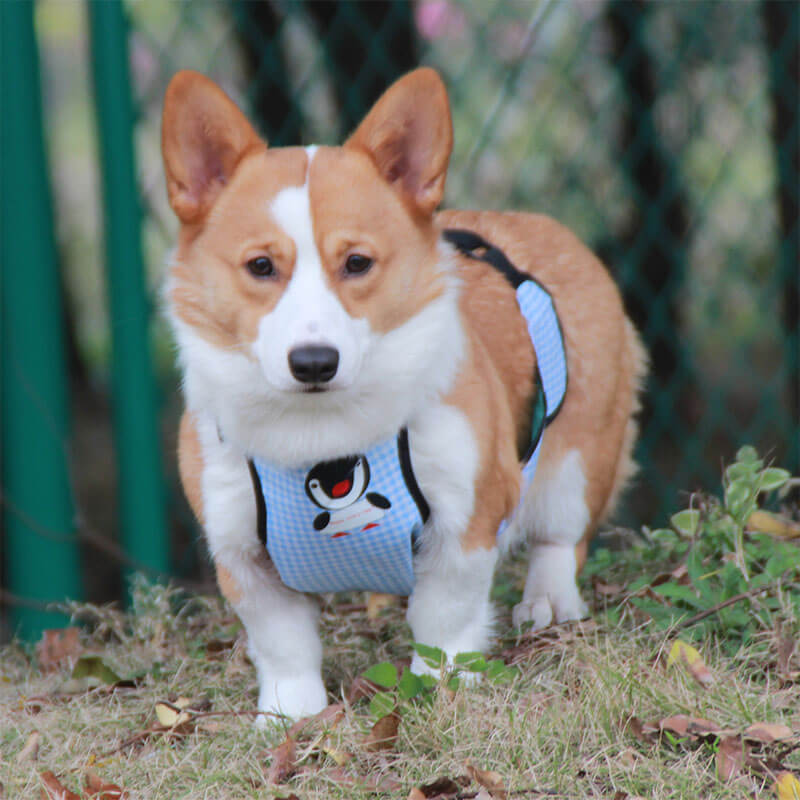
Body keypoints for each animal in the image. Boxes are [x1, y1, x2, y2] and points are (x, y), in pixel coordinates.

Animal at [162, 67, 644, 720]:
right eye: (261, 266)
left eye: (358, 263)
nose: (314, 363)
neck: (320, 437)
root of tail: (548, 229)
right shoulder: (241, 552)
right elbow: (283, 643)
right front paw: (290, 714)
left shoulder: (466, 519)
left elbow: (444, 619)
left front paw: (440, 687)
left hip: (578, 455)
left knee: (561, 535)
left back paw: (547, 601)